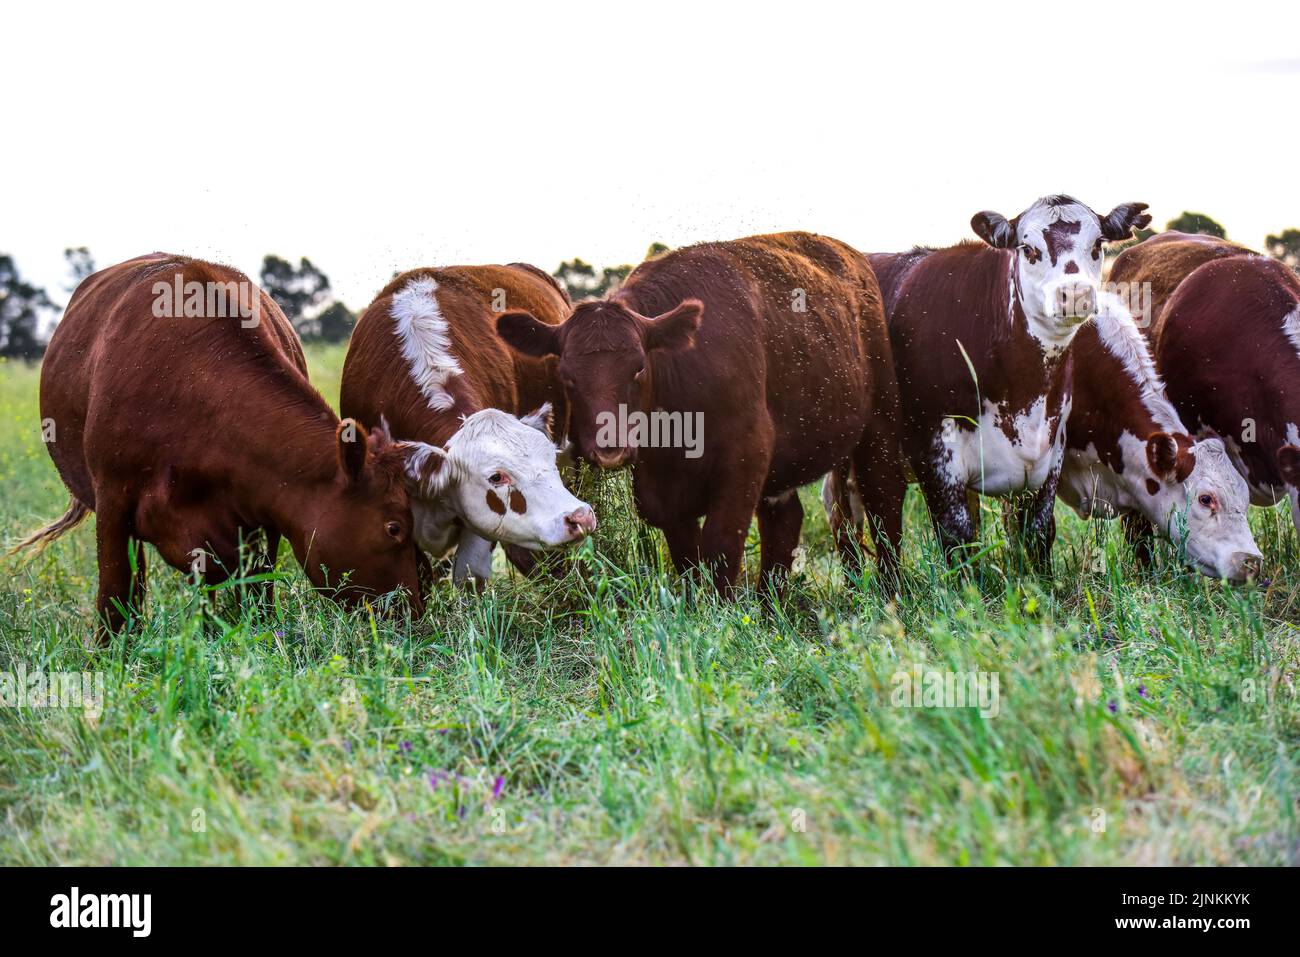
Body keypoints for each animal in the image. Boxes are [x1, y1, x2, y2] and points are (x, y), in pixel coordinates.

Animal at [15, 254, 425, 639]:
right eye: (394, 527)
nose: (416, 613)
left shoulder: (265, 514)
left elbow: (257, 596)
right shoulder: (113, 501)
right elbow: (116, 596)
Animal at [495, 231, 906, 594]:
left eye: (639, 367)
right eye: (567, 375)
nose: (610, 449)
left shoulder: (745, 458)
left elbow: (721, 548)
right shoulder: (662, 496)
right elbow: (688, 560)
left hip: (880, 425)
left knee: (885, 502)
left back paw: (893, 590)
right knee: (785, 522)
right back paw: (770, 604)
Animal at [874, 195, 1151, 570]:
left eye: (1097, 245)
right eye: (1029, 249)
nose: (1074, 294)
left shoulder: (1050, 449)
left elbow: (1039, 531)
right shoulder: (933, 456)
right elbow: (958, 540)